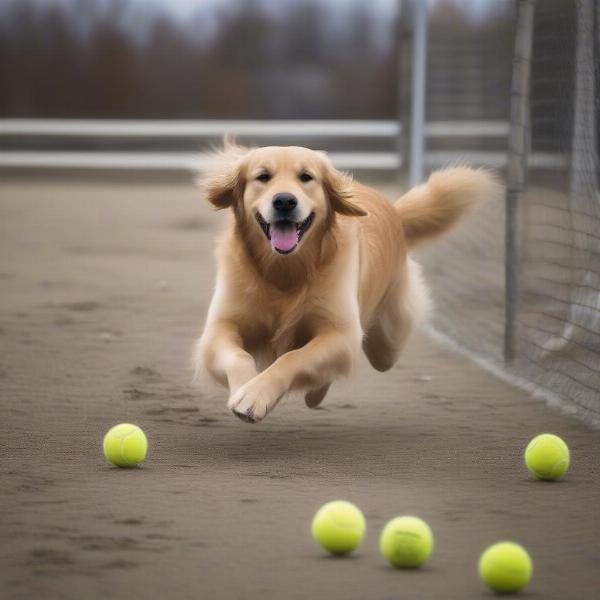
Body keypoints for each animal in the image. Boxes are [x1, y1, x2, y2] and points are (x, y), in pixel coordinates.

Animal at [197, 141, 502, 422]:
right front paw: (245, 388)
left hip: (387, 341)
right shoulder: (220, 326)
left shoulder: (341, 333)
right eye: (263, 177)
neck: (286, 271)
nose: (284, 201)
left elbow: (293, 358)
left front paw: (255, 393)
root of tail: (394, 211)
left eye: (306, 177)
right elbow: (238, 356)